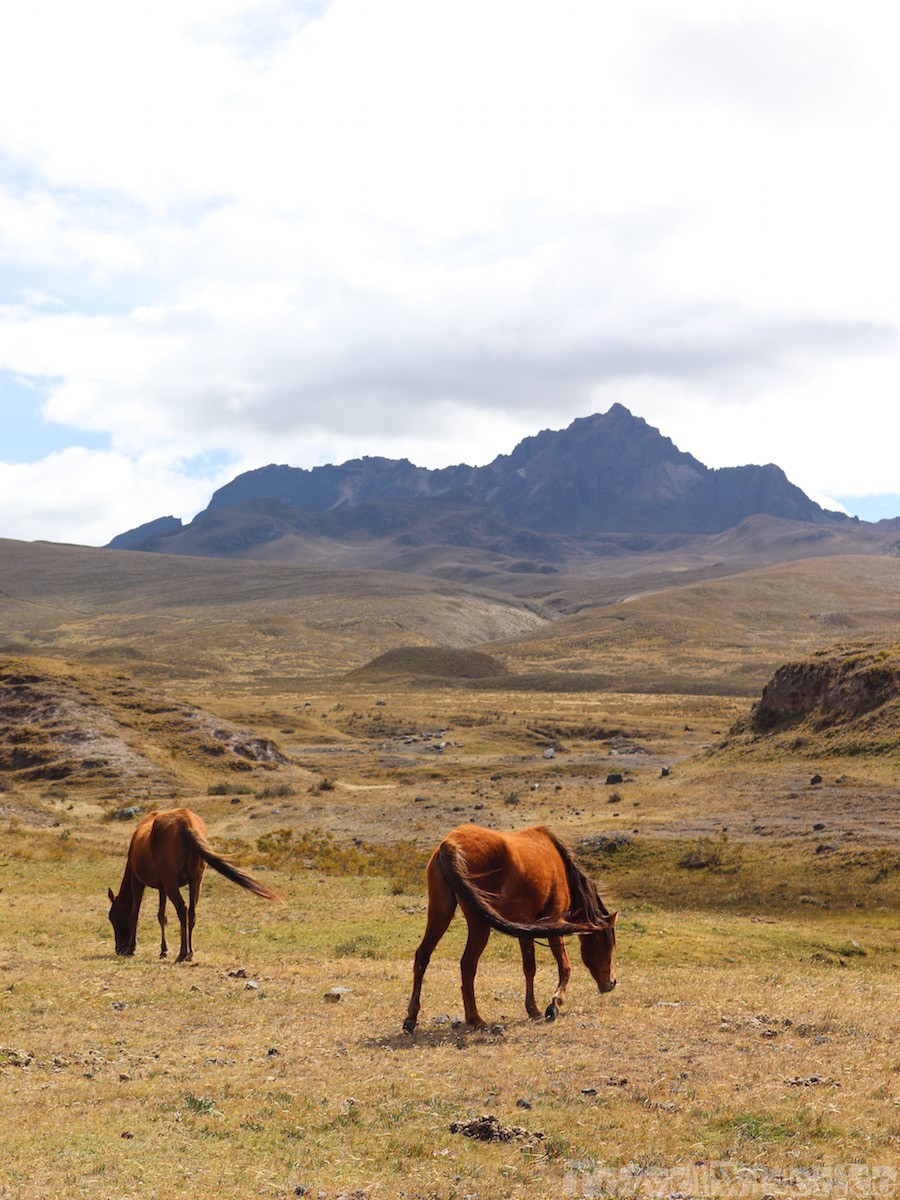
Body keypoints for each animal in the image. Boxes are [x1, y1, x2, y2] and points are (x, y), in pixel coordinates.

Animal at [107, 807, 279, 961]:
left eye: (113, 917)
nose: (119, 948)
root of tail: (186, 823)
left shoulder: (138, 881)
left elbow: (135, 913)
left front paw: (132, 948)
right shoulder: (162, 887)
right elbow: (161, 915)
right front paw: (163, 950)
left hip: (172, 882)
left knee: (182, 910)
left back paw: (183, 953)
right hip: (195, 880)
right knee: (191, 912)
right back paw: (190, 953)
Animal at [403, 824, 616, 1032]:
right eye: (608, 944)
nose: (612, 983)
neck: (560, 865)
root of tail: (450, 844)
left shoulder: (526, 928)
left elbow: (529, 967)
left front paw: (533, 1009)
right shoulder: (556, 923)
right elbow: (564, 966)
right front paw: (554, 1004)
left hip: (441, 913)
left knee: (423, 955)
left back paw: (411, 1018)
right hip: (479, 924)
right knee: (467, 964)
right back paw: (475, 1019)